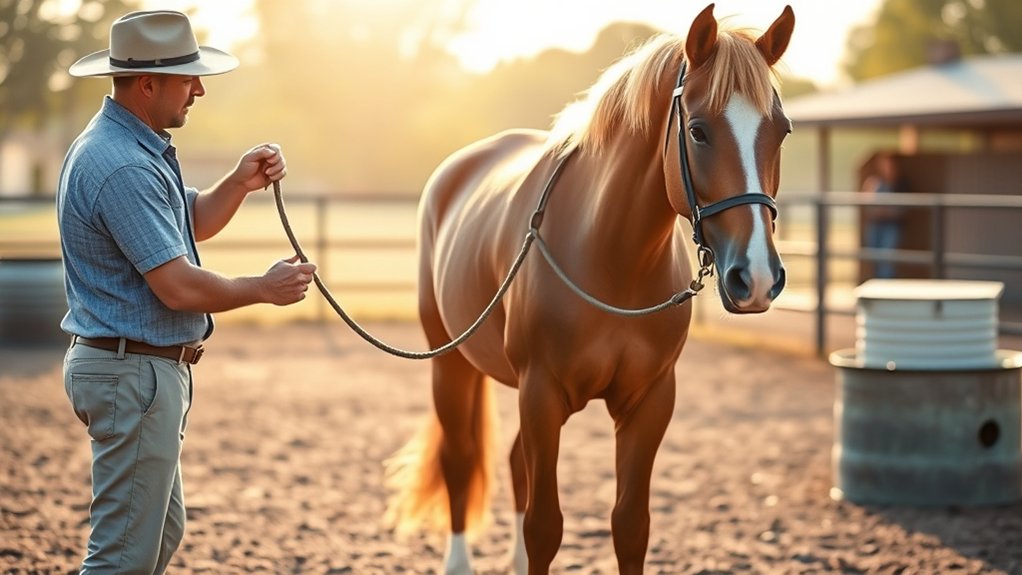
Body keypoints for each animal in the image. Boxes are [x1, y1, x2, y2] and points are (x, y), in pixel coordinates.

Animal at [384, 4, 795, 573]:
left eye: (782, 131)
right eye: (698, 131)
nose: (755, 277)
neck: (611, 260)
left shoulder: (649, 402)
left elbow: (630, 526)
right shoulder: (540, 394)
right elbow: (544, 527)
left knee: (513, 463)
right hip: (449, 361)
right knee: (460, 459)